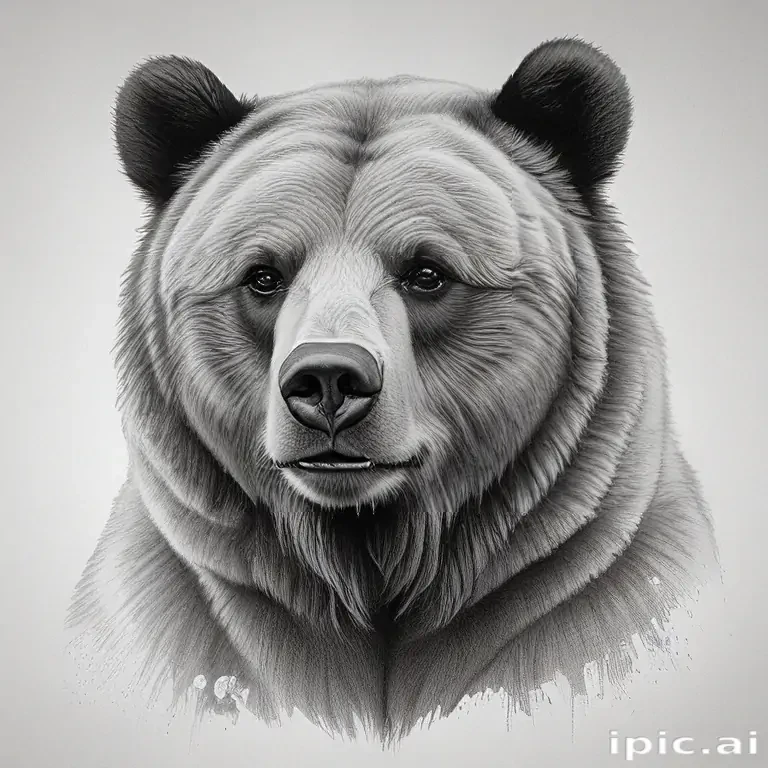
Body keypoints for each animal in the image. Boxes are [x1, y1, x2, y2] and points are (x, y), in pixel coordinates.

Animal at [68, 37, 718, 742]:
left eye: (427, 272)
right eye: (263, 276)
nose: (328, 379)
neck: (373, 558)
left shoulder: (591, 586)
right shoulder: (187, 612)